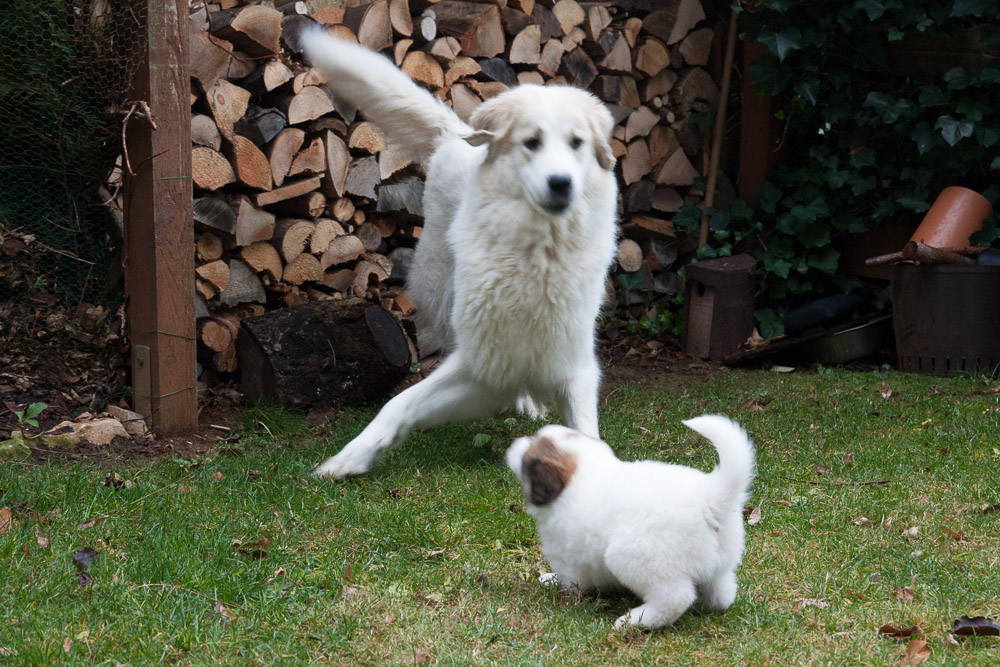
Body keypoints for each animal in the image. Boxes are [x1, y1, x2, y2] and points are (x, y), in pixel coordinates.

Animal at [300, 32, 620, 480]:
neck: (537, 255)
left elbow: (587, 433)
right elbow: (398, 404)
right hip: (439, 295)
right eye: (532, 142)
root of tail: (458, 132)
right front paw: (350, 458)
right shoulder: (480, 366)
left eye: (577, 143)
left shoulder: (573, 364)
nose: (561, 184)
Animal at [504, 414, 752, 628]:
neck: (579, 473)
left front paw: (555, 583)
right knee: (722, 594)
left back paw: (633, 621)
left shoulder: (567, 555)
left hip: (635, 557)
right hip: (720, 565)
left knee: (674, 599)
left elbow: (571, 579)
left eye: (528, 454)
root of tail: (709, 500)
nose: (515, 442)